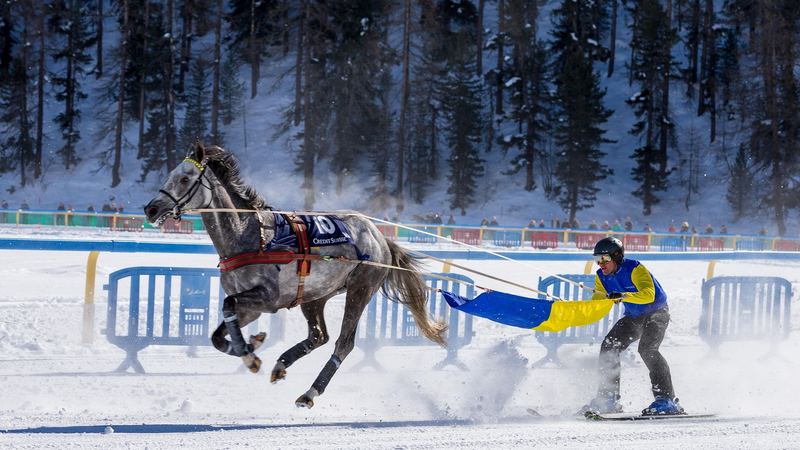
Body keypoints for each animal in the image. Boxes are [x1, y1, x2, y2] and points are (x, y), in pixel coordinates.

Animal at [143, 143, 447, 408]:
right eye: (171, 175)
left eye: (185, 178)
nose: (151, 208)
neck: (251, 235)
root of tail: (380, 238)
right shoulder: (250, 305)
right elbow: (219, 335)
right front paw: (251, 347)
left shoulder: (267, 298)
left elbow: (228, 307)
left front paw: (249, 355)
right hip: (315, 296)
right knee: (318, 336)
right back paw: (281, 364)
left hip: (360, 289)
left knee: (342, 343)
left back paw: (310, 392)